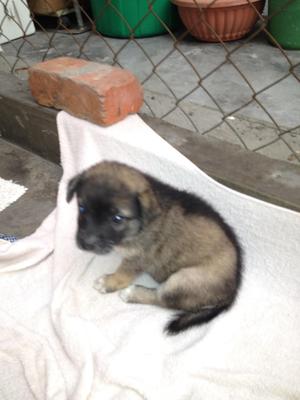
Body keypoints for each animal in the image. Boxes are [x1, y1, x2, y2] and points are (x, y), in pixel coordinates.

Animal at [67, 162, 243, 334]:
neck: (138, 226)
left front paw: (108, 282)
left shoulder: (138, 258)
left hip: (183, 280)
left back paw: (132, 293)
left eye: (117, 218)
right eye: (82, 208)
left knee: (162, 300)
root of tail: (231, 294)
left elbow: (123, 273)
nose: (85, 243)